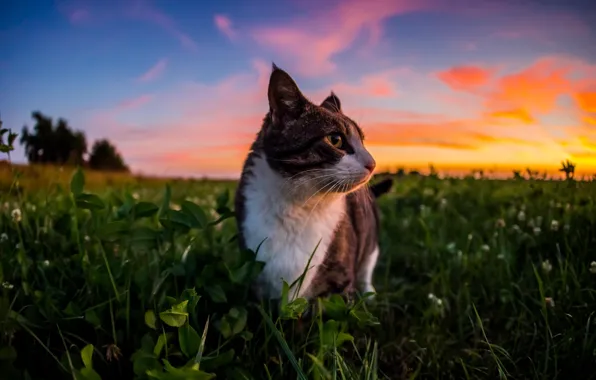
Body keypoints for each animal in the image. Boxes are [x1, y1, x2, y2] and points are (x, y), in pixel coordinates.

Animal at [235, 63, 394, 302]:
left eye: (363, 141)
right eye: (335, 139)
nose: (373, 164)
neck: (297, 206)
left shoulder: (338, 283)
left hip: (370, 238)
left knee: (367, 267)